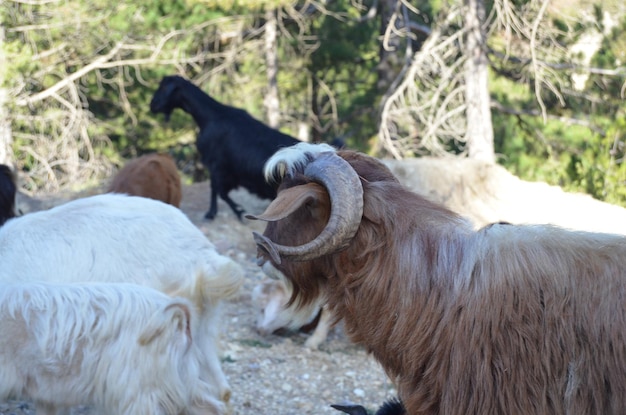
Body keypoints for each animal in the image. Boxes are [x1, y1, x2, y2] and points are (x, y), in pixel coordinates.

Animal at [150, 75, 298, 221]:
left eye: (164, 87)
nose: (152, 105)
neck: (210, 116)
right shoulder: (221, 169)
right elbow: (218, 190)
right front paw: (220, 212)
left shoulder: (217, 166)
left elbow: (219, 191)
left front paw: (228, 212)